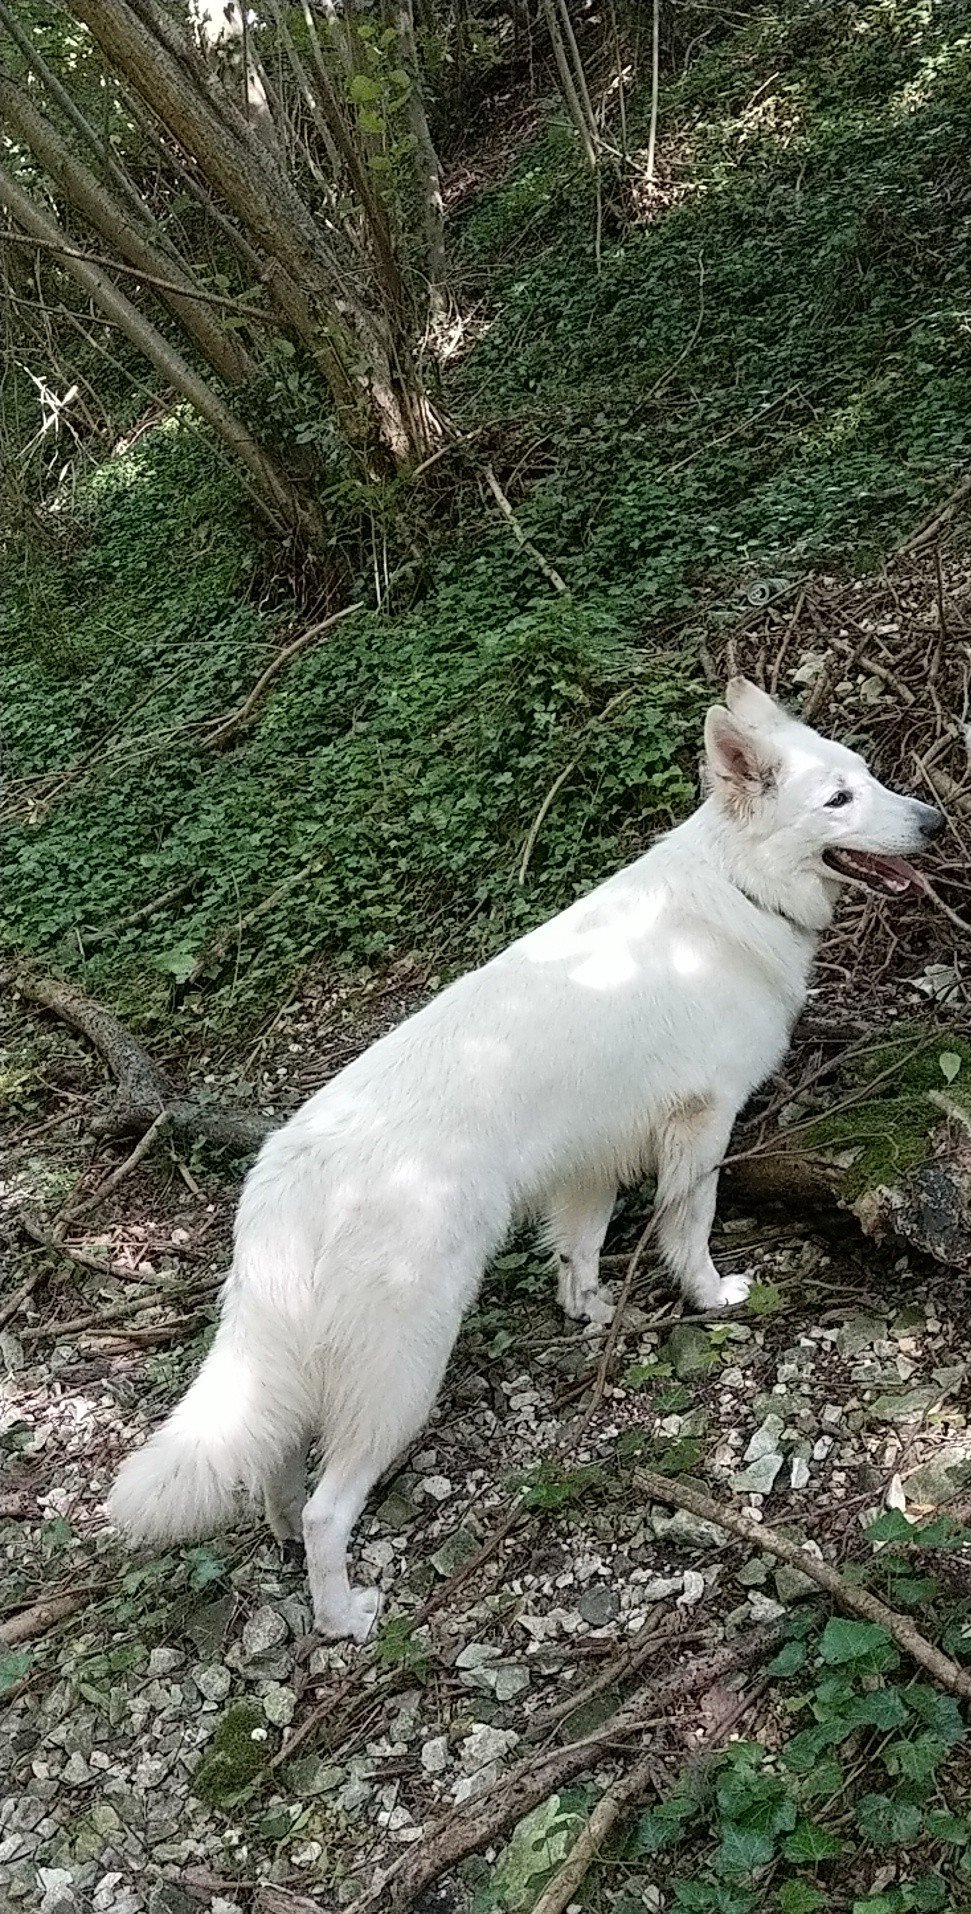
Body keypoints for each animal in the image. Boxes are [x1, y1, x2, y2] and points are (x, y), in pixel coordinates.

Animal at [106, 681, 942, 1638]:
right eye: (837, 800)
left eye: (867, 777)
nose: (934, 822)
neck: (738, 885)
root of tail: (286, 1176)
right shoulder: (700, 1126)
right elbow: (688, 1226)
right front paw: (708, 1297)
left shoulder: (588, 1162)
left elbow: (577, 1248)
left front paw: (589, 1309)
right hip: (404, 1369)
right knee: (327, 1506)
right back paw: (342, 1613)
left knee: (279, 1460)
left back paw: (280, 1535)